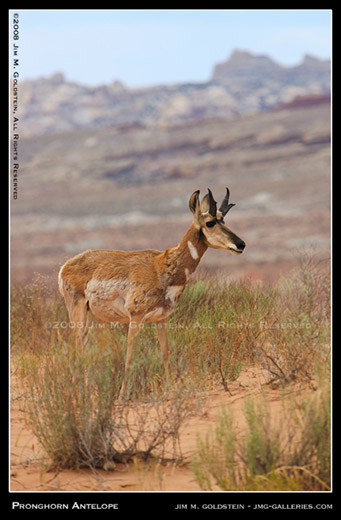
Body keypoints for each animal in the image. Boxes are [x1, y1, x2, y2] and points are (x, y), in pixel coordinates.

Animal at [58, 188, 244, 398]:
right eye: (210, 223)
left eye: (223, 220)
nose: (241, 244)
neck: (161, 267)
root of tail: (67, 264)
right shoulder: (136, 317)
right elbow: (130, 356)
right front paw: (122, 396)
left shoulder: (161, 319)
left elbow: (165, 353)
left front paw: (171, 390)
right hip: (78, 314)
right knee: (78, 349)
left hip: (91, 317)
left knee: (83, 350)